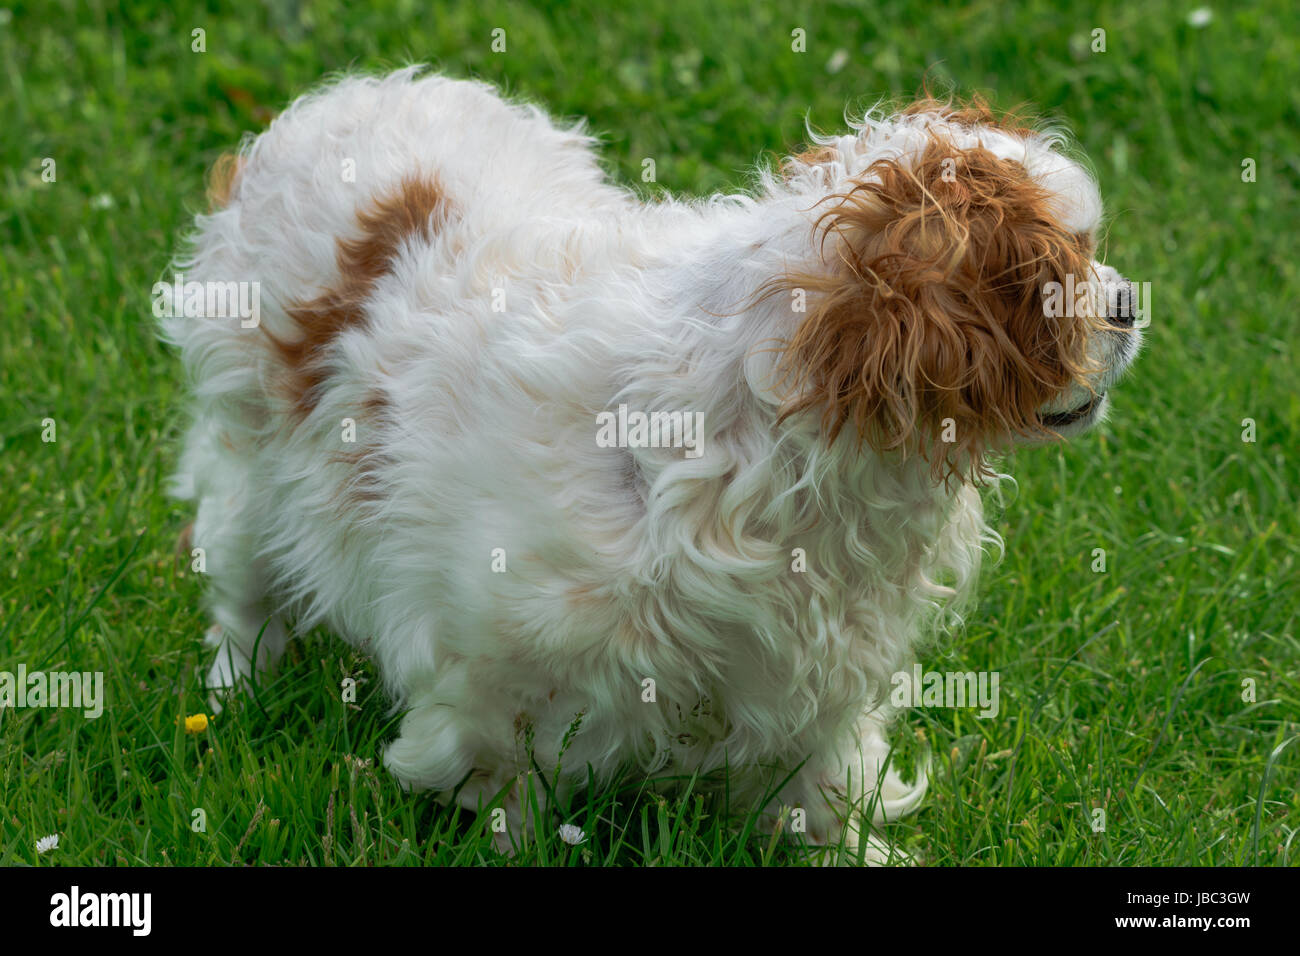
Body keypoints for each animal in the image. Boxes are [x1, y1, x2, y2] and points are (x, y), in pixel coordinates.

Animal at [159, 67, 1138, 858]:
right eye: (1054, 282)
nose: (1131, 302)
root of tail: (353, 95)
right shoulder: (498, 668)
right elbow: (505, 780)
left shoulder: (818, 674)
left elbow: (821, 788)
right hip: (249, 478)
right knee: (246, 602)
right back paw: (238, 697)